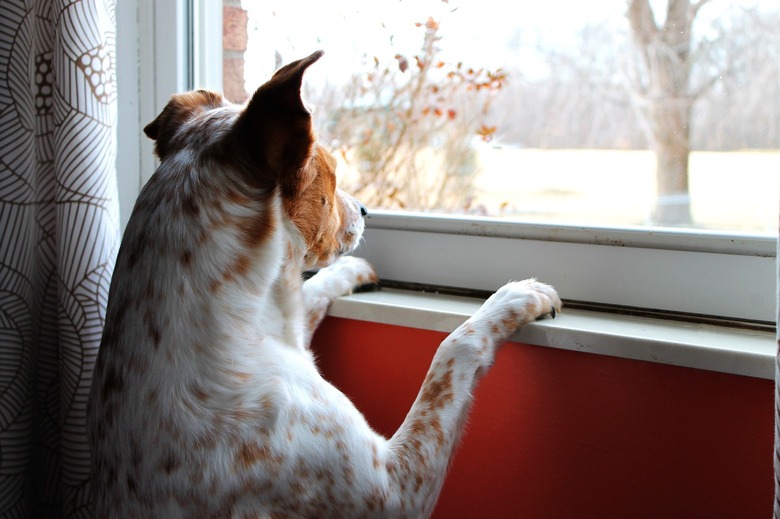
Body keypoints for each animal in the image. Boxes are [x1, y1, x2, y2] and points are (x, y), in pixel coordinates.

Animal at [87, 49, 560, 519]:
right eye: (331, 170)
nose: (367, 210)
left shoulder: (291, 324)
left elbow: (312, 291)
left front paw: (355, 272)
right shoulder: (396, 490)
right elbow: (453, 348)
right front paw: (517, 296)